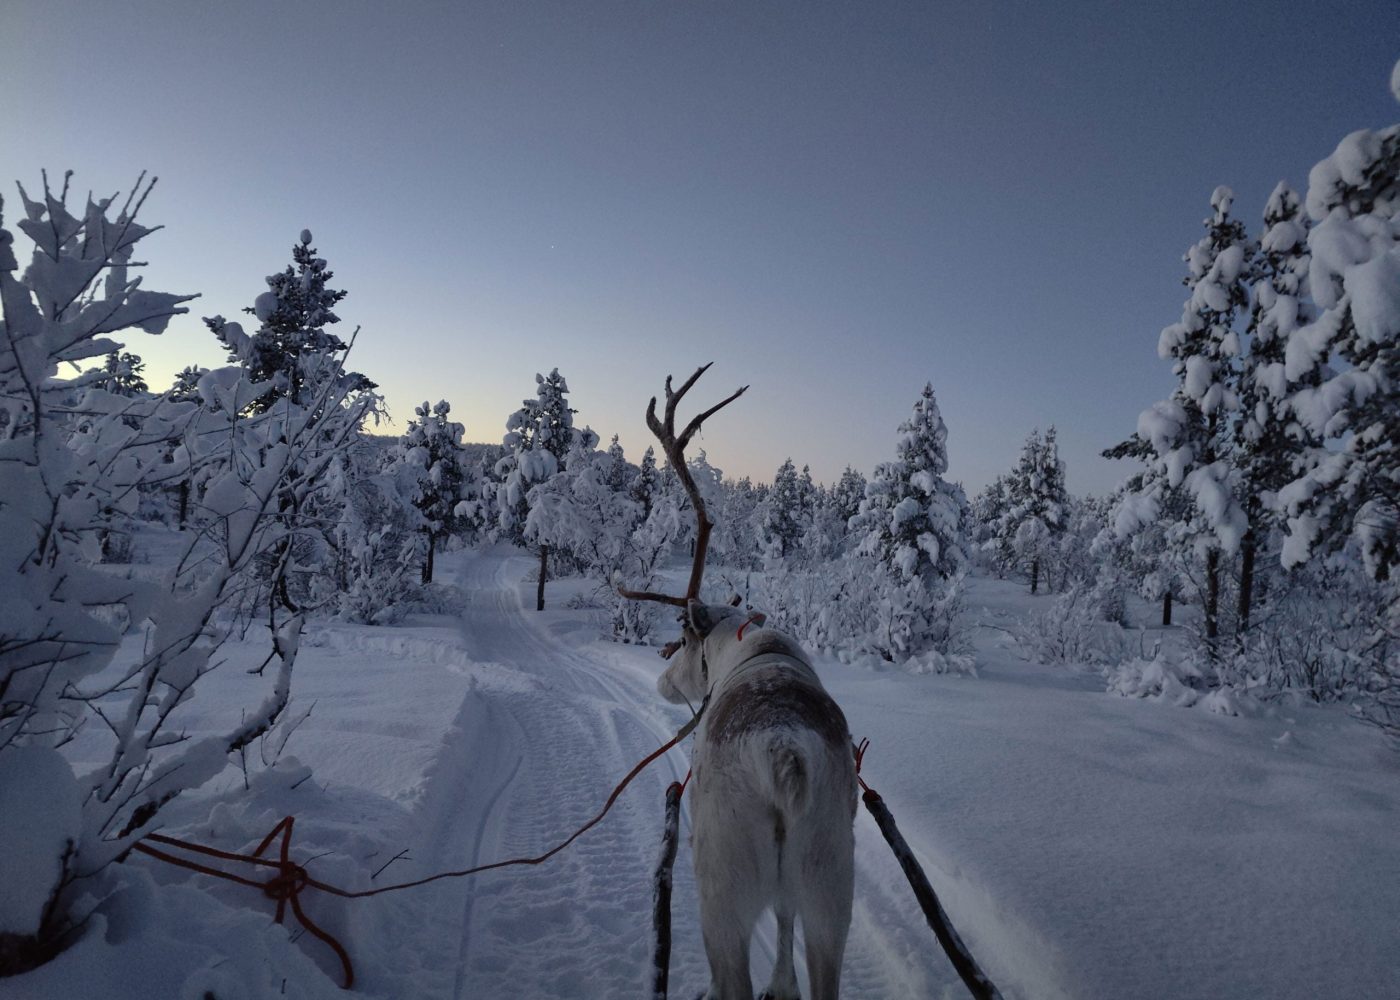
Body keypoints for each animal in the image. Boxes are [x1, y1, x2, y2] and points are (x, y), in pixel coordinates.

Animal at [620, 365, 858, 1000]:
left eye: (682, 636)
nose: (661, 680)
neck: (743, 648)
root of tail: (785, 756)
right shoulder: (798, 900)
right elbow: (784, 916)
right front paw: (783, 984)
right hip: (832, 890)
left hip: (721, 892)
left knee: (730, 974)